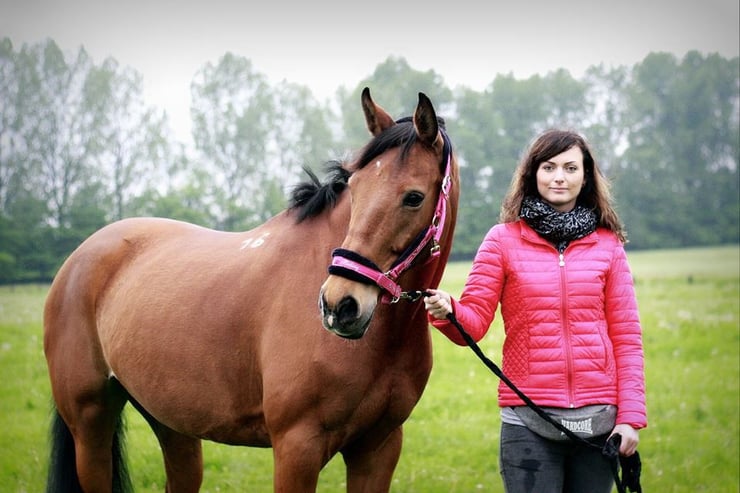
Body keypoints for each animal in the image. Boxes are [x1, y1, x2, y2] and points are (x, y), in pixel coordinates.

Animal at [43, 88, 460, 492]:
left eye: (413, 197)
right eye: (354, 189)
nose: (338, 305)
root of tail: (78, 258)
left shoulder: (378, 447)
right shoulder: (296, 447)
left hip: (171, 422)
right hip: (90, 425)